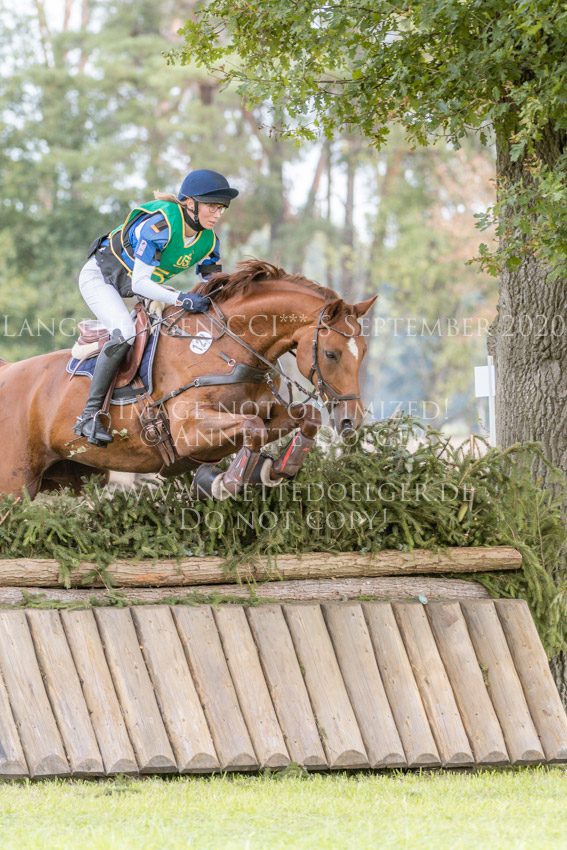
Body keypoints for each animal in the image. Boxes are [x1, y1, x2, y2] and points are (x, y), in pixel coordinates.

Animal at [0, 260, 377, 499]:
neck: (226, 348)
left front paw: (276, 469)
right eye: (331, 354)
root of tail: (7, 370)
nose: (351, 422)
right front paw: (224, 481)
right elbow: (253, 428)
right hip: (14, 487)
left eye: (364, 351)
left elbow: (304, 418)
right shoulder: (189, 431)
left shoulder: (267, 411)